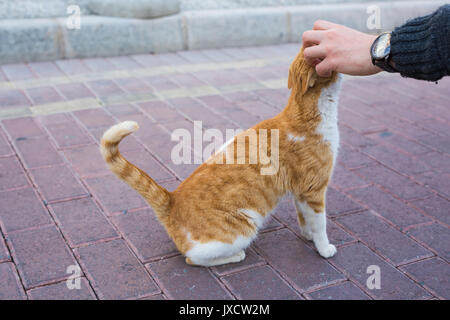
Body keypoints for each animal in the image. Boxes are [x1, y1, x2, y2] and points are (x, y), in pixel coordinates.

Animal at [101, 47, 342, 266]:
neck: (306, 113)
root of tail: (172, 199)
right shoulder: (314, 190)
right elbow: (320, 223)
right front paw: (324, 248)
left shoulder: (300, 190)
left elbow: (304, 218)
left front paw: (308, 235)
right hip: (243, 227)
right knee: (193, 259)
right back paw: (236, 256)